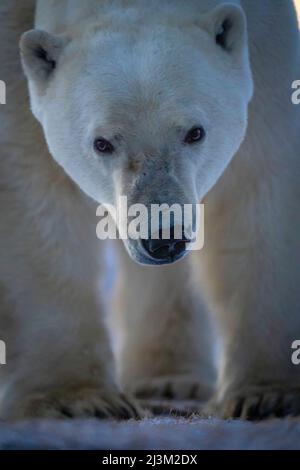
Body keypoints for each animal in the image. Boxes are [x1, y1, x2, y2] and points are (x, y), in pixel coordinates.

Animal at [0, 0, 298, 418]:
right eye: (102, 143)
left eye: (195, 132)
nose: (164, 238)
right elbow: (33, 201)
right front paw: (80, 400)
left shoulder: (268, 52)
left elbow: (260, 194)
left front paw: (267, 396)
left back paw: (171, 381)